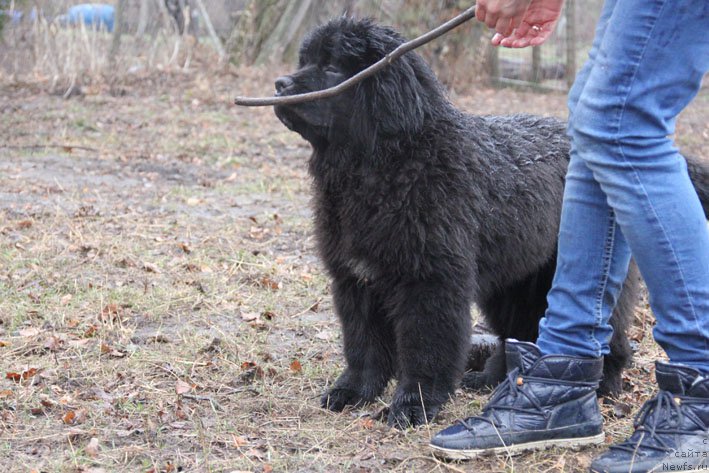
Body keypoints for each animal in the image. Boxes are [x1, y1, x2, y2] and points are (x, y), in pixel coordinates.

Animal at [272, 17, 708, 428]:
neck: (388, 168)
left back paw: (603, 384)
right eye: (305, 59)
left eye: (332, 67)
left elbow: (425, 347)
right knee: (519, 333)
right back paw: (491, 379)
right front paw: (352, 392)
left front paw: (413, 406)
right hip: (514, 281)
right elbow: (363, 344)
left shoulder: (430, 280)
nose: (279, 84)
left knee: (609, 333)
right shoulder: (356, 279)